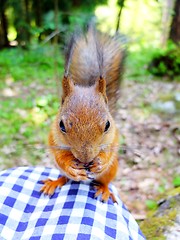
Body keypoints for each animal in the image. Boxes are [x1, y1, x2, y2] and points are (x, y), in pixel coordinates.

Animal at [40, 26, 125, 202]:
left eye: (107, 125)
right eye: (61, 125)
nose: (86, 158)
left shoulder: (113, 137)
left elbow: (109, 152)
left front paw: (100, 162)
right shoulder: (53, 138)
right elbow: (60, 156)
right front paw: (71, 166)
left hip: (112, 170)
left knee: (105, 181)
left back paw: (104, 190)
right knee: (64, 177)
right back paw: (55, 182)